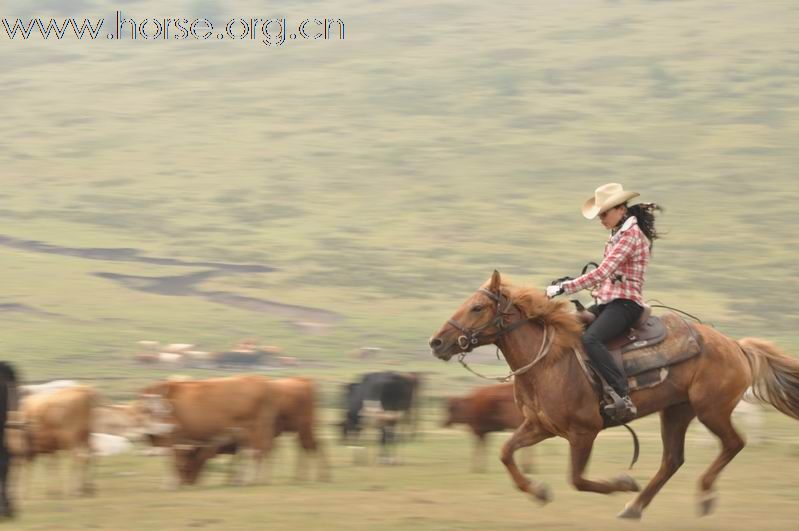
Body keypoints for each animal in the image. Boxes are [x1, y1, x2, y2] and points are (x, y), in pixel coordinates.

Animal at [140, 376, 282, 488]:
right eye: (147, 409)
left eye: (160, 409)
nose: (169, 426)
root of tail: (260, 380)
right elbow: (175, 461)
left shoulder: (171, 439)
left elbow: (172, 461)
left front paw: (171, 484)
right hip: (247, 434)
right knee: (251, 453)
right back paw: (244, 481)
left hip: (255, 430)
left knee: (256, 453)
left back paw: (252, 480)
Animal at [173, 376, 330, 484]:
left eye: (188, 465)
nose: (187, 481)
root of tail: (304, 380)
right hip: (304, 428)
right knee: (312, 446)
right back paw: (311, 477)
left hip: (304, 427)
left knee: (310, 446)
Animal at [432, 272, 799, 520]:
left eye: (477, 307)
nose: (436, 343)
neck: (550, 361)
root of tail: (736, 345)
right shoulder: (539, 427)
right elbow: (507, 453)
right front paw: (538, 491)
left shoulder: (583, 432)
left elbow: (577, 479)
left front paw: (622, 482)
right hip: (677, 411)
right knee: (672, 460)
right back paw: (634, 507)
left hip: (712, 410)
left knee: (733, 444)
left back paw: (703, 497)